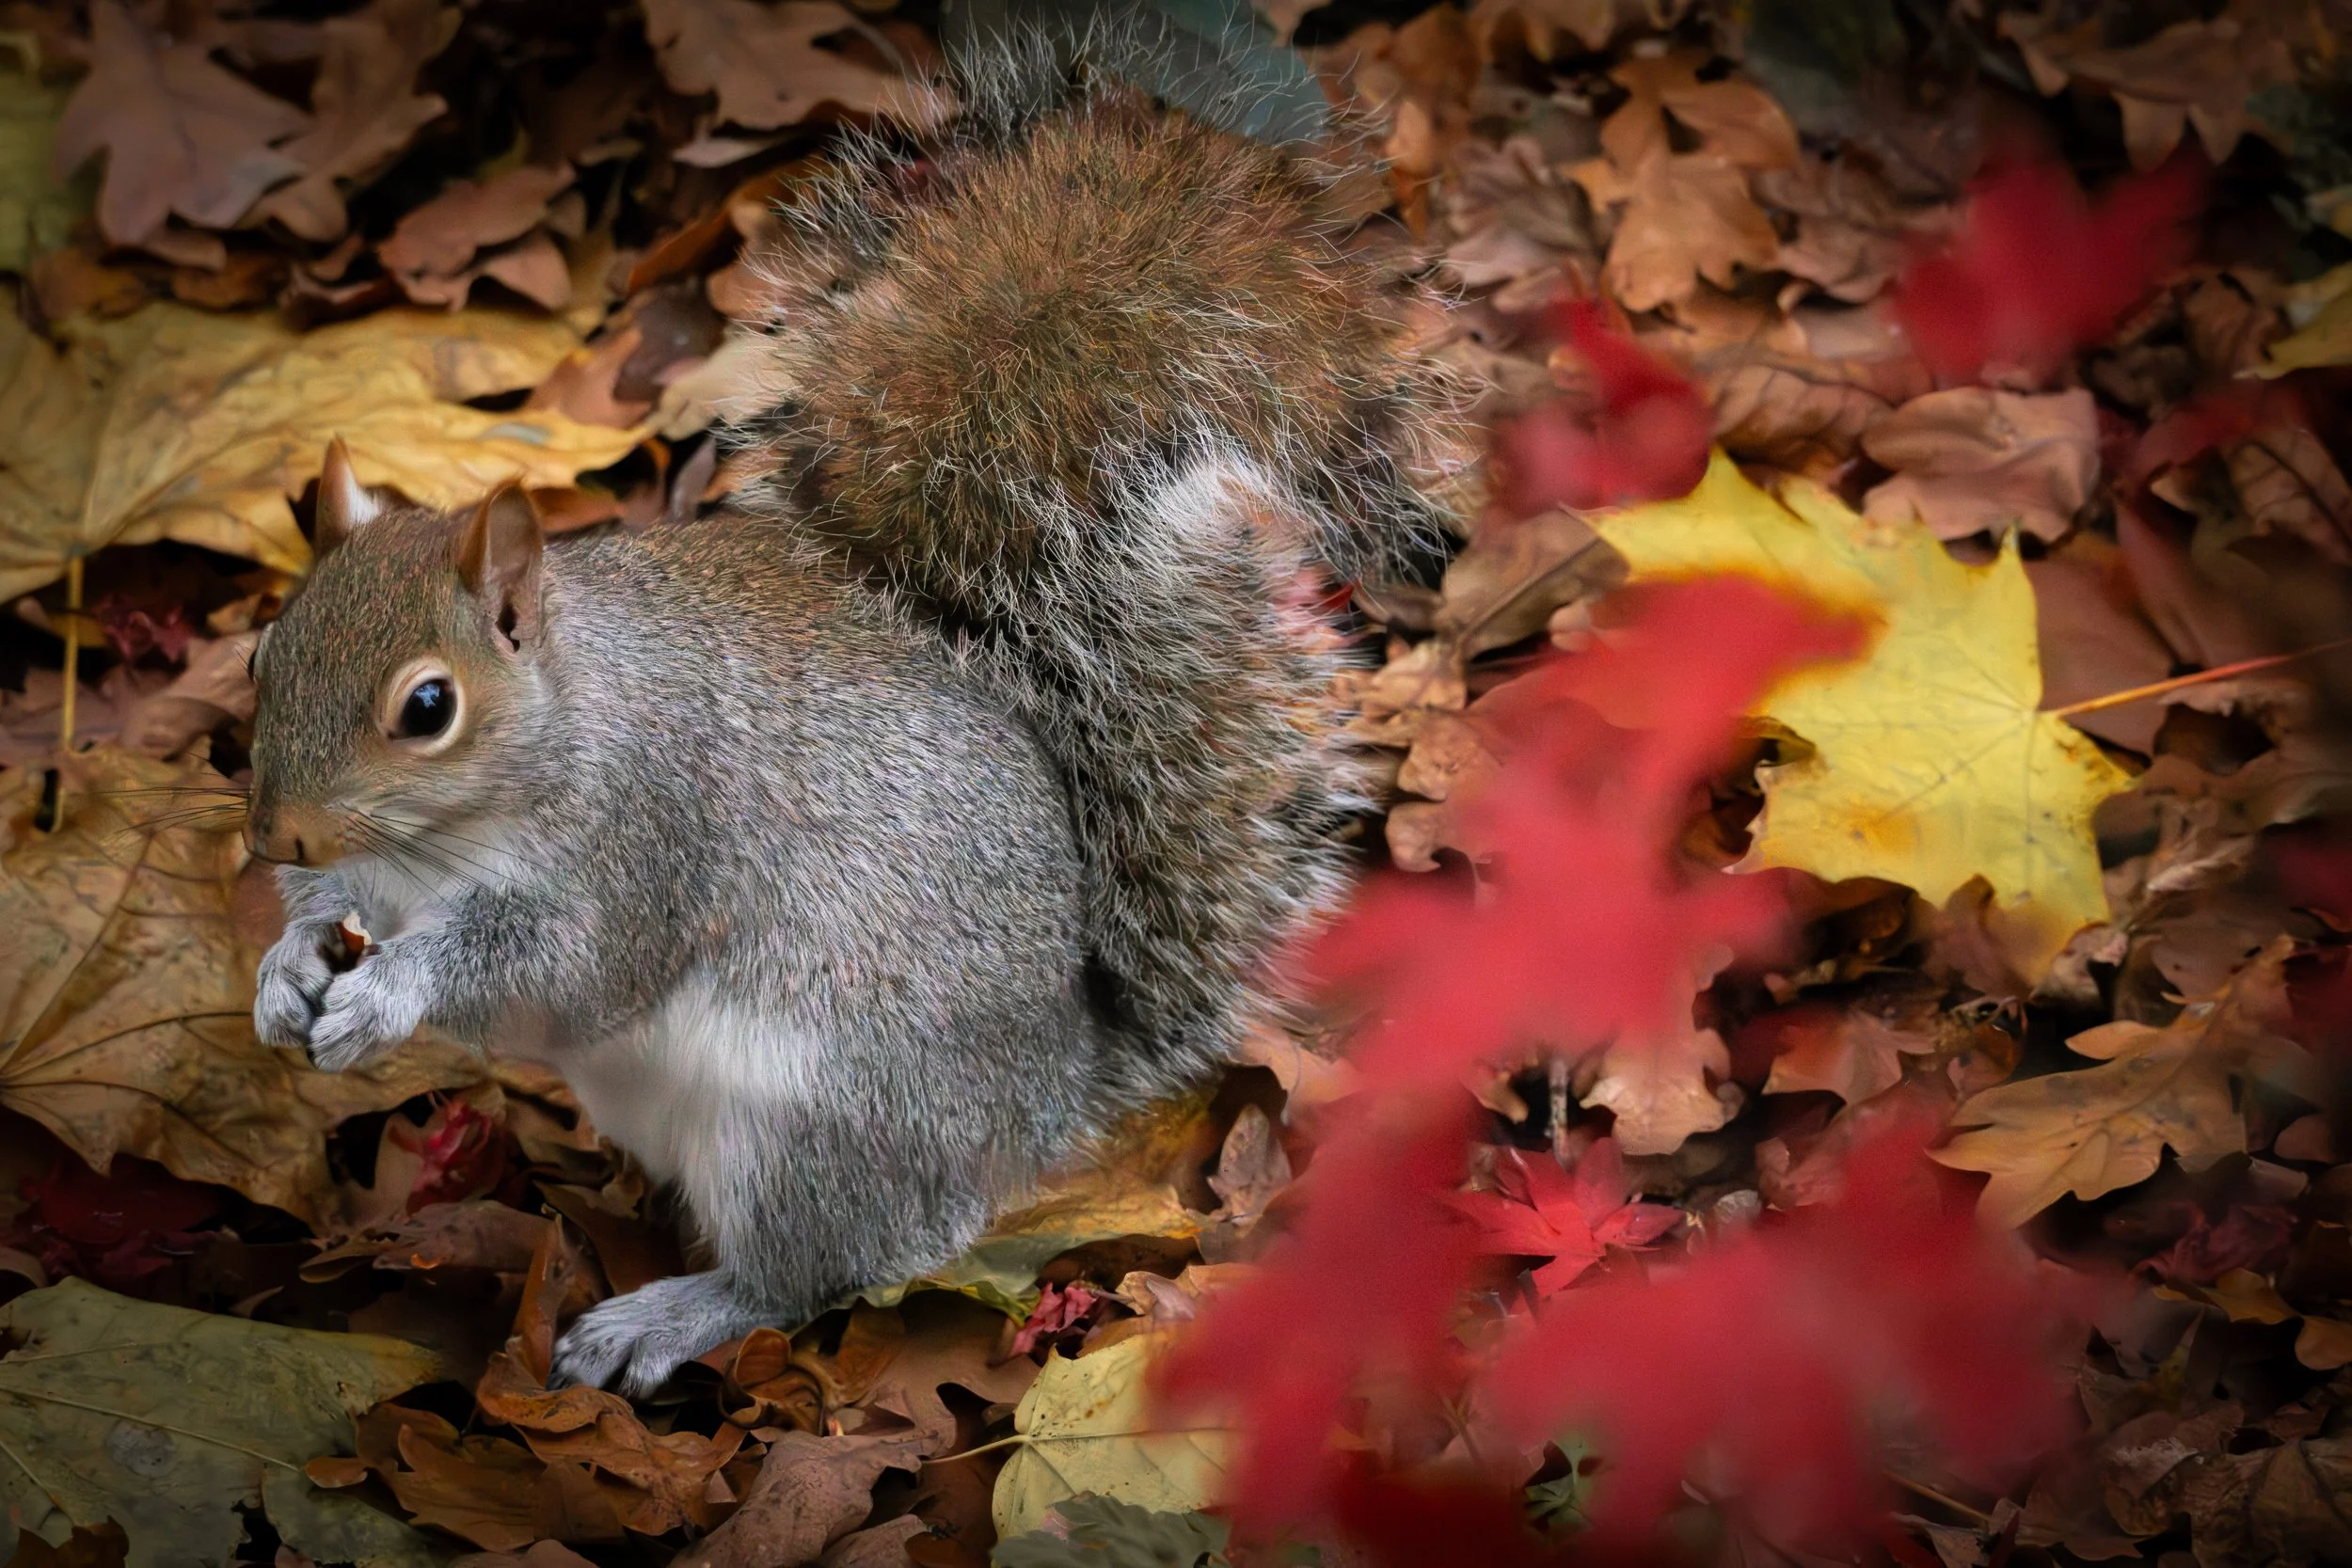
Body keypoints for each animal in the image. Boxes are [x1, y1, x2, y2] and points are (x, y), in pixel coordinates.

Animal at [245, 36, 1470, 1394]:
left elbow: (560, 965)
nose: (279, 834)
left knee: (825, 1266)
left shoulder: (647, 840)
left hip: (812, 1125)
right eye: (264, 649)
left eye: (428, 706)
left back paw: (668, 1313)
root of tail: (1048, 1093)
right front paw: (287, 966)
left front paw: (387, 993)